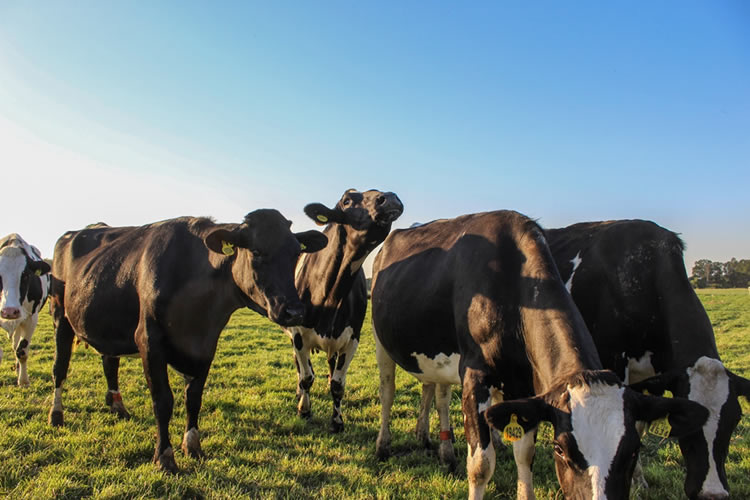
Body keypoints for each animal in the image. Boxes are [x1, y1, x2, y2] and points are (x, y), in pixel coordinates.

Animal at [0, 234, 51, 386]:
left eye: (26, 275)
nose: (9, 311)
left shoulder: (31, 319)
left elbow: (22, 351)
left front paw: (23, 381)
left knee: (16, 345)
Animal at [48, 211, 328, 472]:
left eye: (296, 253)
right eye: (257, 252)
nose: (294, 311)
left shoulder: (205, 345)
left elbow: (193, 398)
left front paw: (192, 446)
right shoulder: (149, 341)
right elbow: (163, 401)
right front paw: (165, 457)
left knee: (110, 362)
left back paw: (118, 407)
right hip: (60, 316)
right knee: (60, 368)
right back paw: (56, 414)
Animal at [288, 189, 406, 432]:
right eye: (347, 200)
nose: (389, 197)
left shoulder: (352, 338)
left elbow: (338, 384)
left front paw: (337, 421)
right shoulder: (298, 335)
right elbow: (306, 377)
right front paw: (304, 409)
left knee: (331, 365)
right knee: (299, 368)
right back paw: (298, 393)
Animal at [372, 211, 712, 500]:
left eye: (631, 452)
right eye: (561, 449)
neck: (510, 279)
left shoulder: (523, 384)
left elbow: (524, 454)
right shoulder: (475, 375)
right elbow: (480, 464)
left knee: (438, 394)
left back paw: (442, 449)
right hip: (381, 343)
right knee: (388, 391)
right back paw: (383, 446)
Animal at [548, 220, 750, 500]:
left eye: (736, 419)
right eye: (684, 422)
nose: (712, 494)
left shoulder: (651, 378)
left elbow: (640, 424)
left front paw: (637, 480)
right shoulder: (613, 363)